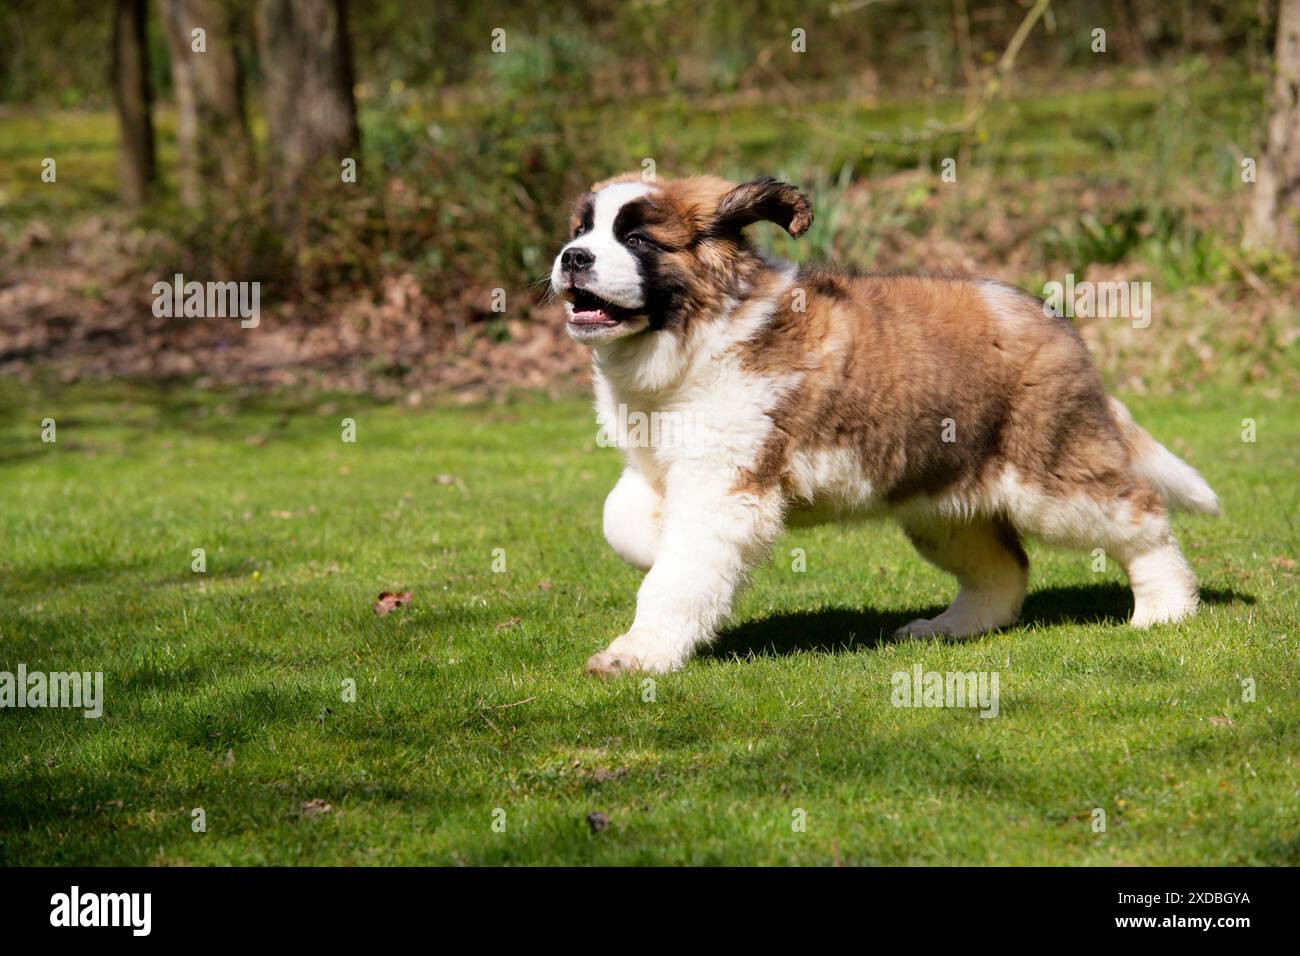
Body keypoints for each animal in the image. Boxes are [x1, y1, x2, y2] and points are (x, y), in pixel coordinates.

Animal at [548, 175, 1216, 676]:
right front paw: (654, 544)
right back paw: (950, 628)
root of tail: (1052, 319)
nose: (572, 258)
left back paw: (1165, 607)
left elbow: (677, 575)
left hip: (1050, 477)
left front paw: (637, 655)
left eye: (636, 238)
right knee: (1003, 566)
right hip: (942, 503)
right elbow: (622, 521)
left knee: (1142, 514)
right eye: (581, 231)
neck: (697, 332)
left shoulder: (722, 483)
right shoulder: (656, 466)